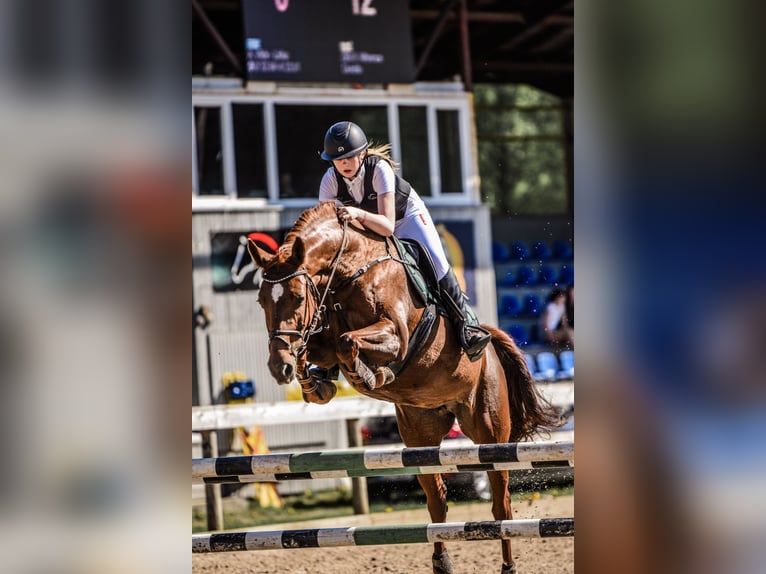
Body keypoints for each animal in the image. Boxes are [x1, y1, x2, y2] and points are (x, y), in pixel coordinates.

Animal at [249, 204, 560, 574]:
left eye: (297, 297)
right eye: (261, 301)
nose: (276, 367)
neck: (349, 272)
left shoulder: (395, 334)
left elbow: (347, 342)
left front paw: (371, 375)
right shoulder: (320, 334)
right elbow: (316, 349)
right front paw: (315, 385)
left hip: (489, 432)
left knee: (502, 506)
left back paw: (507, 565)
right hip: (419, 438)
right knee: (437, 502)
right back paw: (442, 562)